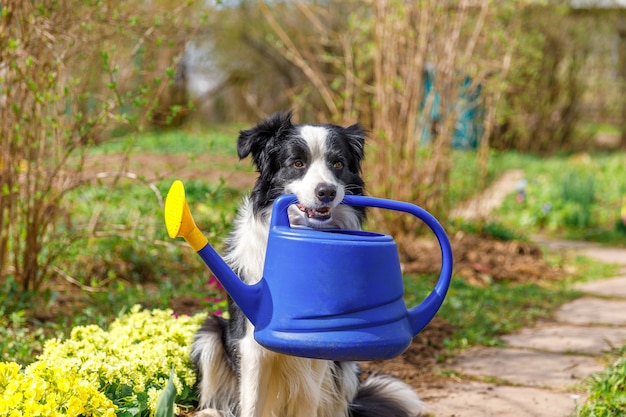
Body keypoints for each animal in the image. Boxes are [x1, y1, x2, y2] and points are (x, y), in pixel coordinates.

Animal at [191, 111, 424, 416]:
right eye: (297, 163)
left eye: (338, 163)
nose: (326, 192)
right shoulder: (250, 342)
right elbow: (251, 402)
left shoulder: (321, 345)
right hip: (210, 333)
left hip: (347, 366)